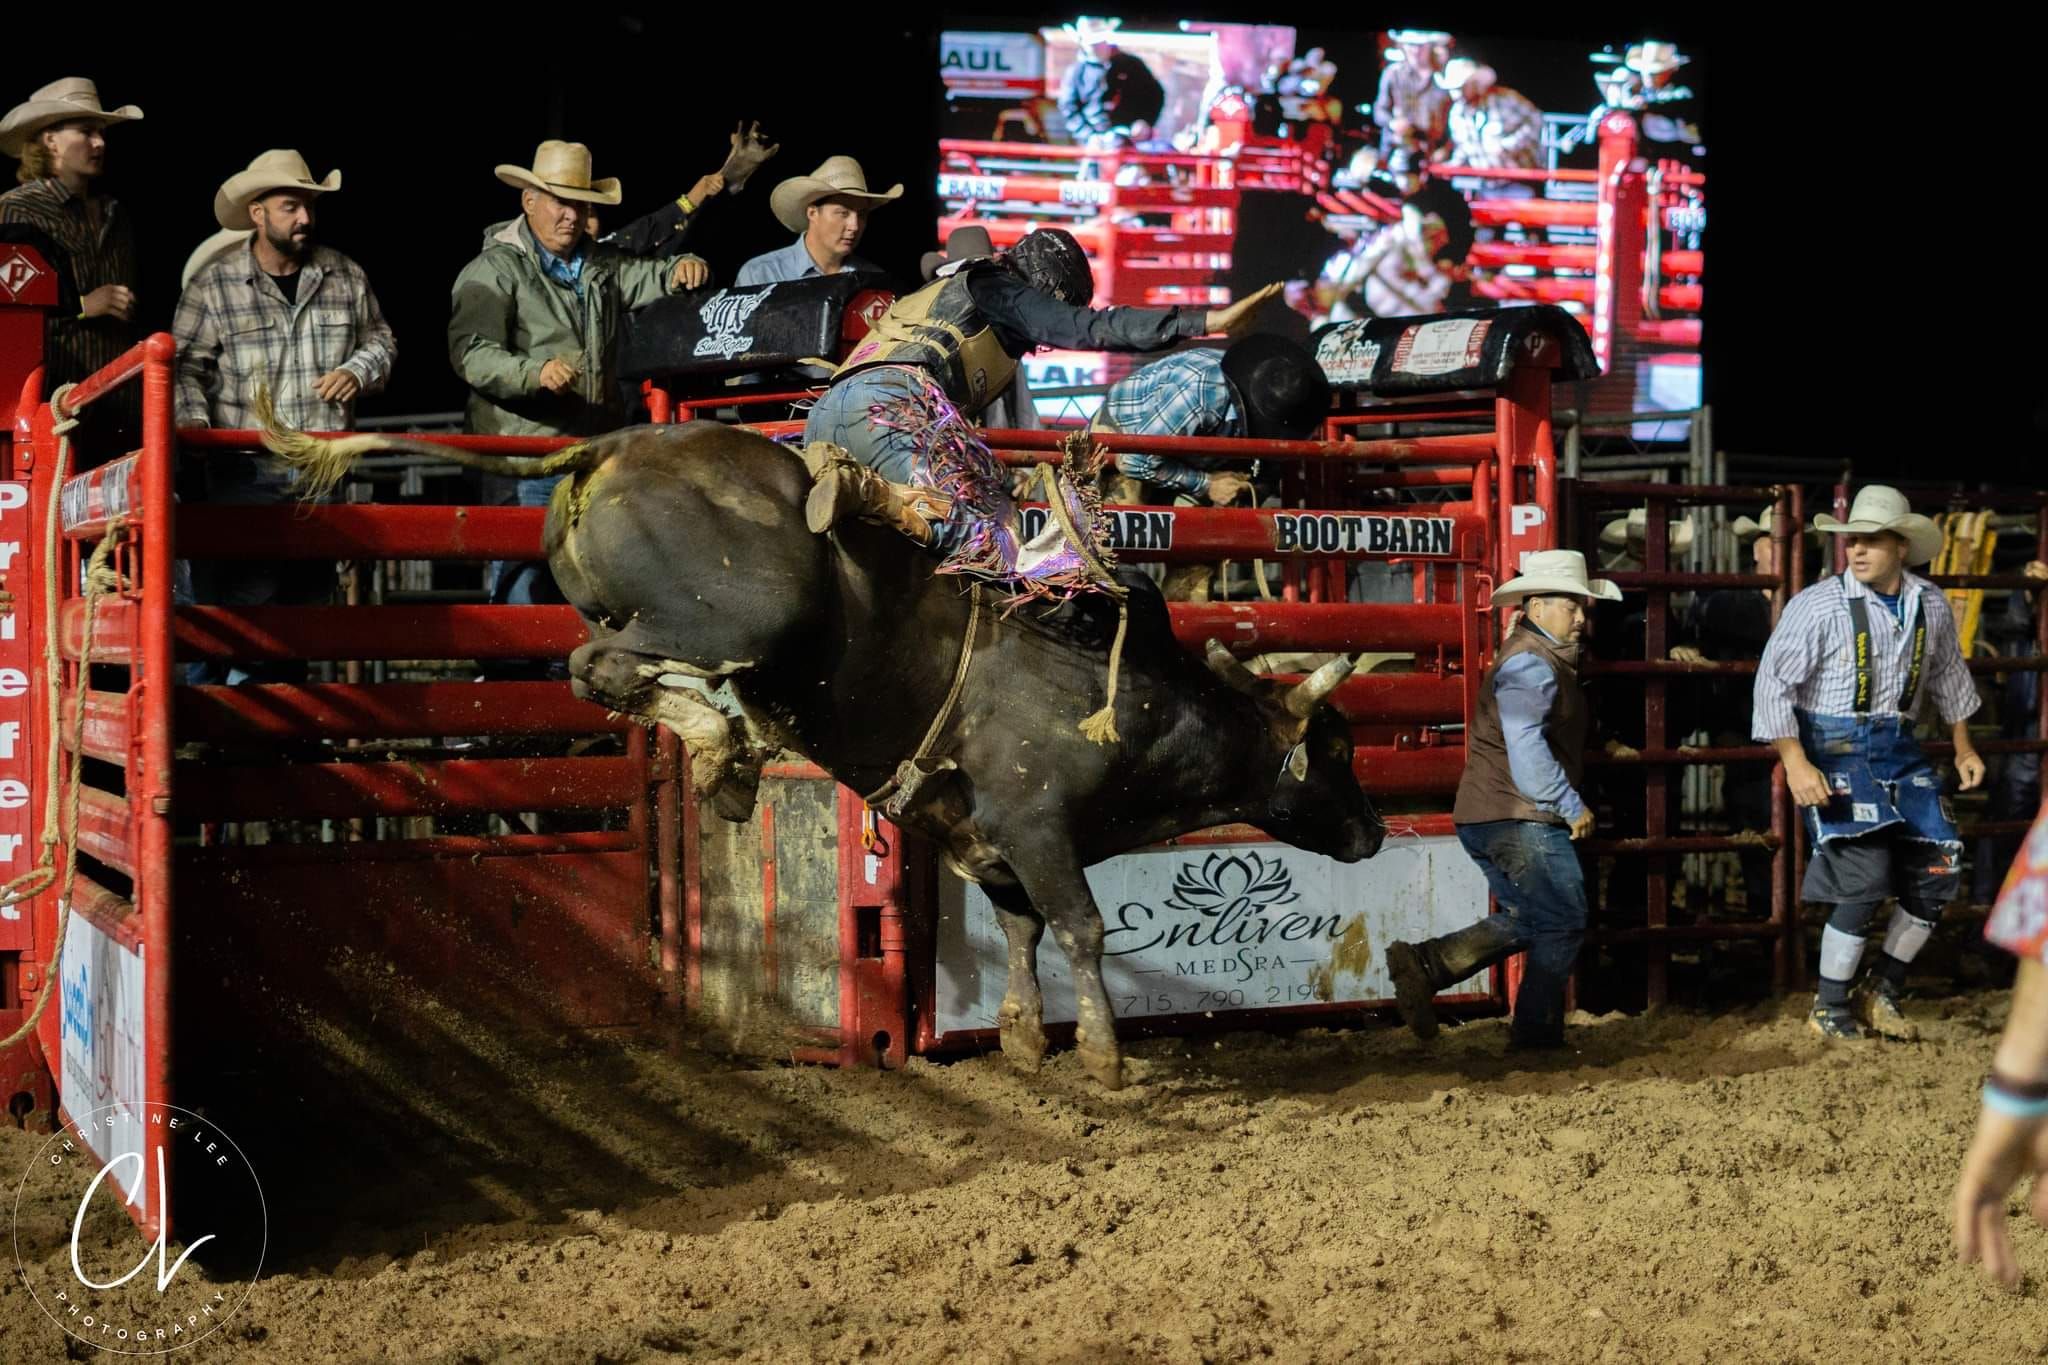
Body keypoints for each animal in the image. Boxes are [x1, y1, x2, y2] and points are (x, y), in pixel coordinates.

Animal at [268, 419, 1392, 1088]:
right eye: (1336, 745)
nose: (1377, 832)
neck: (1134, 695)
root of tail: (610, 445)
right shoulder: (1037, 823)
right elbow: (1077, 926)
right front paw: (1106, 1059)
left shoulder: (993, 841)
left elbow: (1021, 929)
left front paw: (1026, 1039)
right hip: (739, 608)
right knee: (607, 661)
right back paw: (720, 739)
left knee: (599, 667)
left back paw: (721, 750)